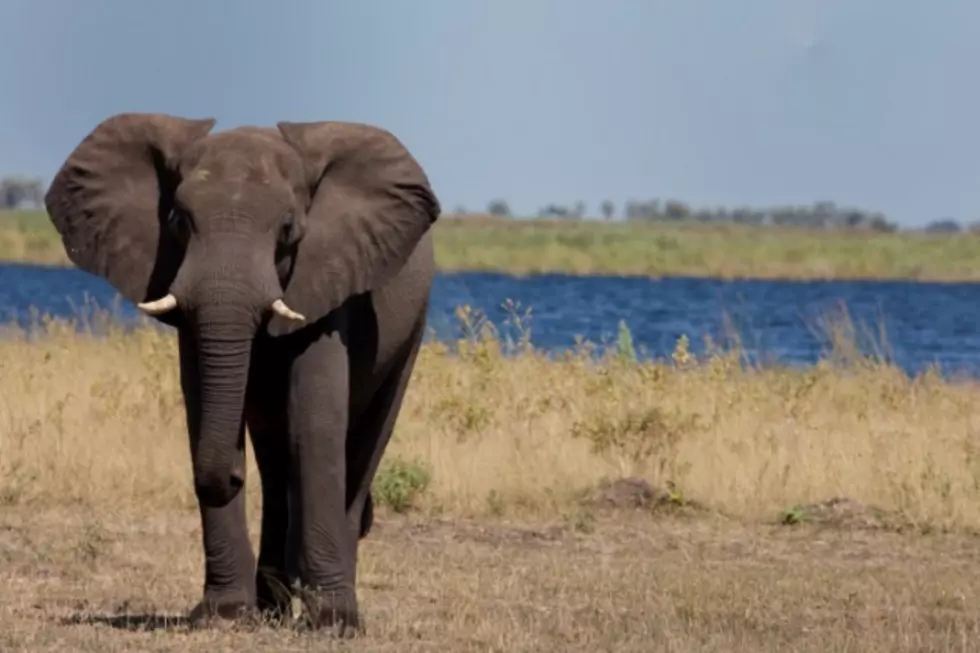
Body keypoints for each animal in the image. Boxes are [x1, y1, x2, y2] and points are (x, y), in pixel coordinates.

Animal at [44, 113, 442, 636]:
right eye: (178, 222)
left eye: (289, 228)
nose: (231, 477)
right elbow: (203, 410)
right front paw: (226, 614)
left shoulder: (328, 278)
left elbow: (314, 423)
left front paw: (333, 623)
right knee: (275, 461)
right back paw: (274, 606)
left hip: (412, 327)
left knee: (363, 444)